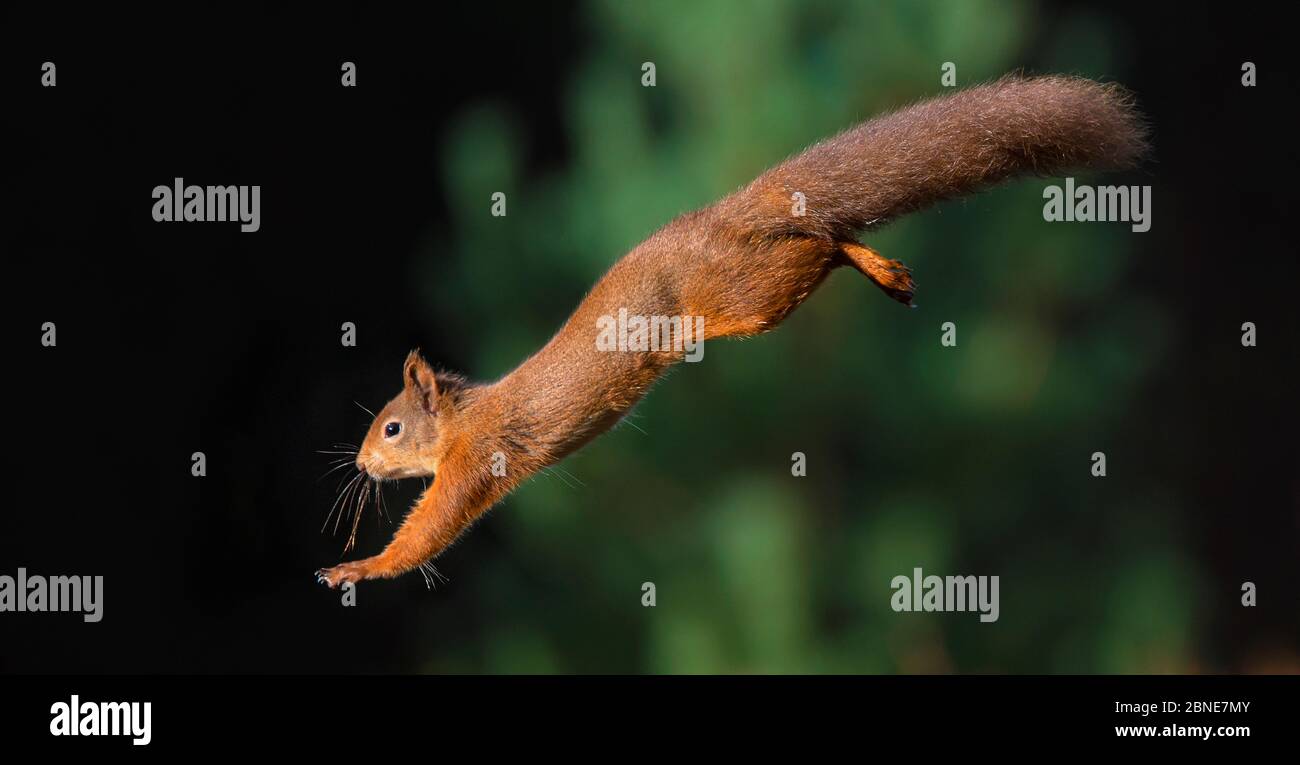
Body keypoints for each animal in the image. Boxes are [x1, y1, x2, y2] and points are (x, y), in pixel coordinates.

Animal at [314, 74, 1149, 588]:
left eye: (391, 427)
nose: (359, 462)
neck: (463, 416)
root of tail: (724, 215)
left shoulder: (477, 461)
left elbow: (430, 529)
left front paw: (360, 568)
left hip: (743, 296)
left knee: (819, 246)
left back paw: (868, 262)